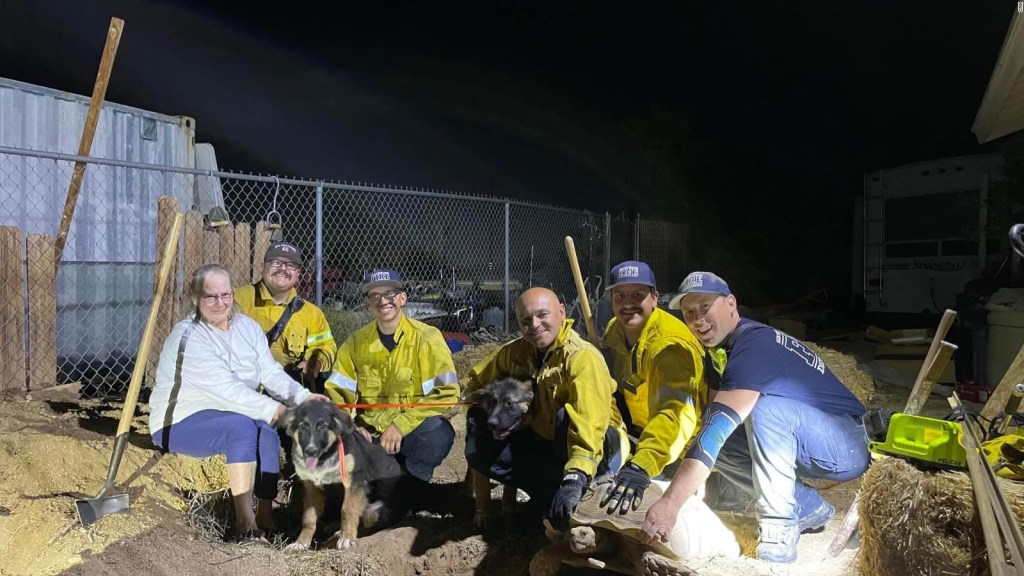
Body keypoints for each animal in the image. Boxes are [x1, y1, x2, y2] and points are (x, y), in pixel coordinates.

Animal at [284, 399, 407, 545]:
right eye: (303, 427)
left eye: (323, 427)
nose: (311, 451)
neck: (325, 458)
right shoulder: (312, 488)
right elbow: (308, 518)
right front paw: (300, 543)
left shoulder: (354, 482)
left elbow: (348, 509)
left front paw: (347, 538)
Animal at [464, 375, 536, 528]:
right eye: (493, 402)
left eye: (509, 403)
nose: (491, 423)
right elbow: (482, 487)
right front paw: (483, 515)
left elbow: (511, 485)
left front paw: (509, 509)